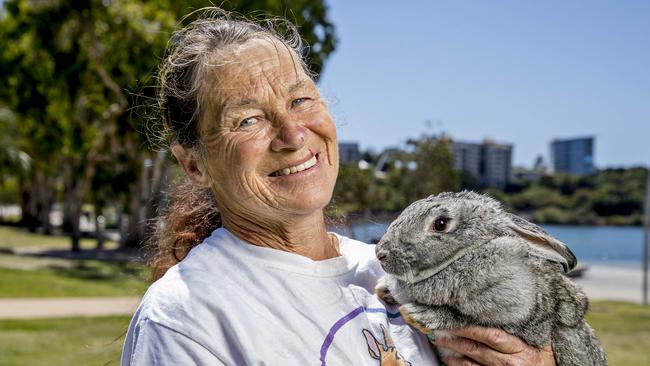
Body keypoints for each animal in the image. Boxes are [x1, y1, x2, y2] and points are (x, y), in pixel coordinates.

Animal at [372, 192, 604, 366]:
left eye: (440, 223)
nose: (380, 253)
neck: (465, 254)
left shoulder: (512, 314)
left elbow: (462, 318)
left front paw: (418, 314)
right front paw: (384, 289)